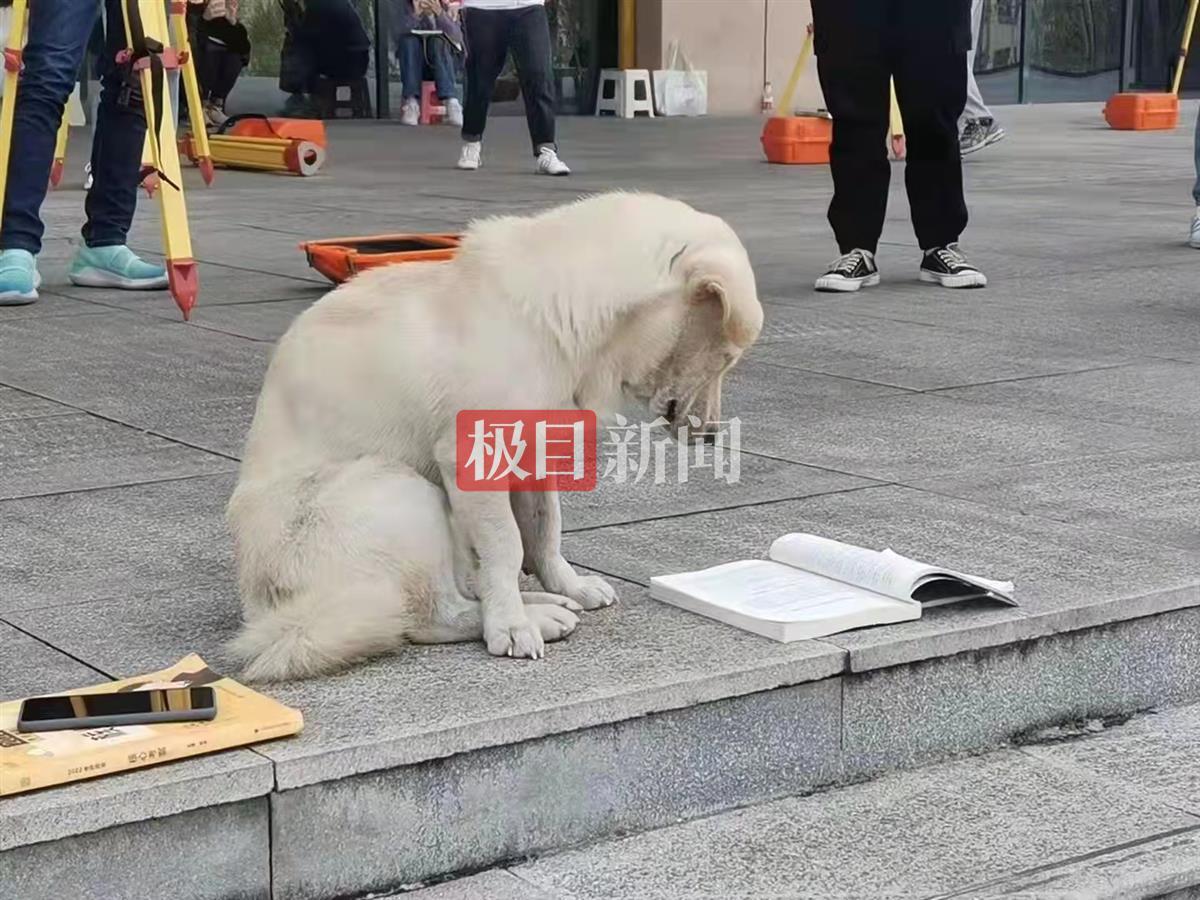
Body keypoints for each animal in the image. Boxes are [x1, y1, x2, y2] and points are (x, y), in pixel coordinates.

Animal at [225, 194, 758, 681]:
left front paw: (566, 586)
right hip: (396, 489)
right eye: (726, 357)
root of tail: (271, 611)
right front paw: (509, 627)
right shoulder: (472, 460)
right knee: (433, 616)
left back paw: (542, 601)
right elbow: (507, 547)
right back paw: (529, 616)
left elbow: (544, 533)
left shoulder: (533, 454)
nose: (714, 436)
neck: (556, 322)